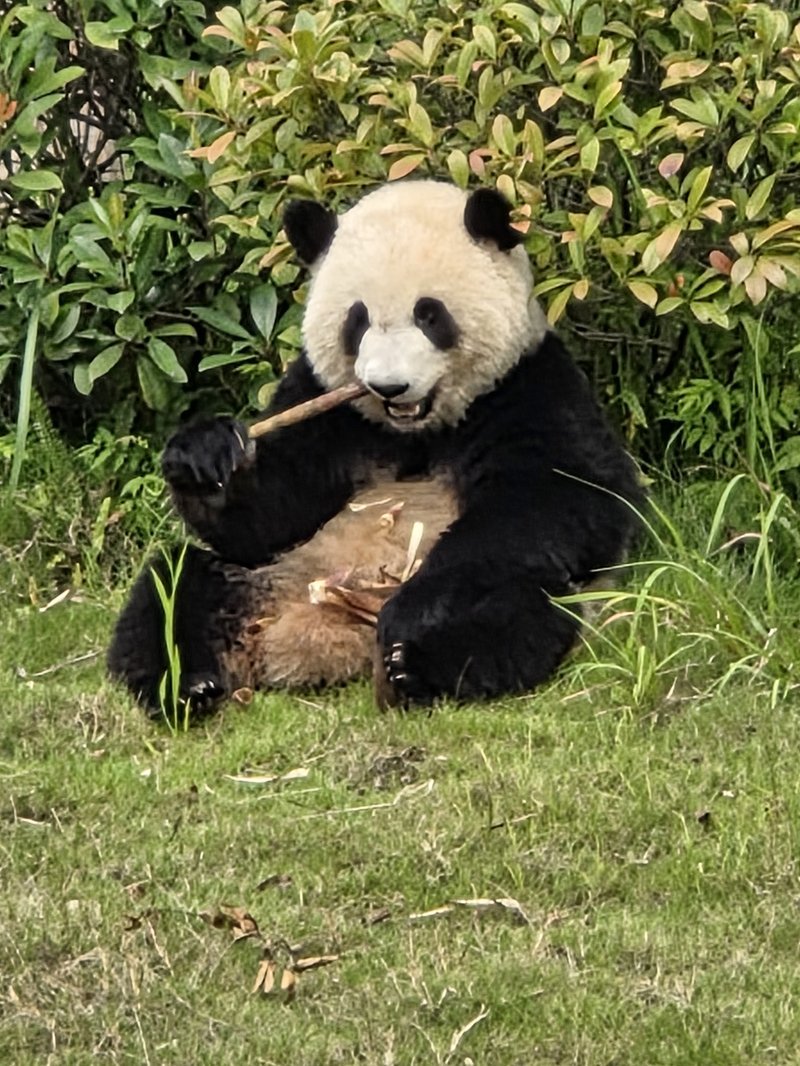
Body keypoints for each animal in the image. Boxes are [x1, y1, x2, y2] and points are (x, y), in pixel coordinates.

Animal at [108, 180, 643, 713]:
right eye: (358, 319)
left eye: (429, 315)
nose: (389, 387)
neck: (416, 431)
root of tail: (316, 638)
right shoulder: (325, 406)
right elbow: (268, 515)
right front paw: (204, 456)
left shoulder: (529, 388)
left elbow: (561, 501)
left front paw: (413, 612)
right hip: (273, 575)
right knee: (176, 583)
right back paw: (186, 684)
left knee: (517, 606)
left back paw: (412, 662)